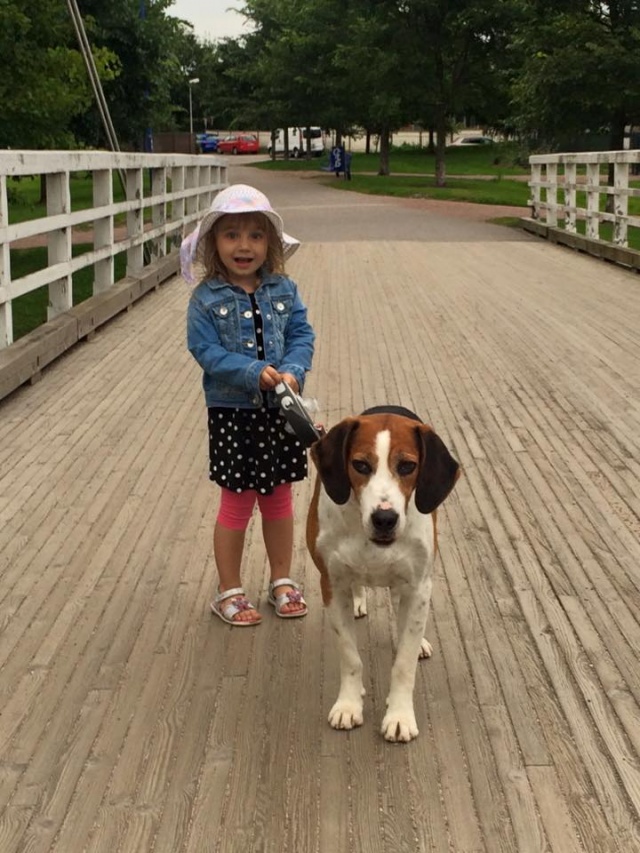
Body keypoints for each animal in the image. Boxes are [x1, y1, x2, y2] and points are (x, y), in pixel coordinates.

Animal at [306, 405, 460, 742]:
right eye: (360, 465)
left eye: (407, 466)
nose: (384, 519)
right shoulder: (332, 585)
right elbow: (350, 656)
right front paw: (349, 705)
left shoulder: (418, 587)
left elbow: (403, 663)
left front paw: (399, 715)